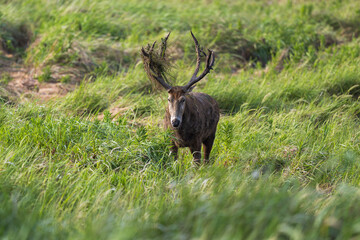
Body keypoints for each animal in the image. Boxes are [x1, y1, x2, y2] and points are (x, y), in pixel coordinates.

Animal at [141, 31, 219, 164]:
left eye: (183, 99)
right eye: (169, 99)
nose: (175, 122)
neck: (180, 134)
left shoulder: (197, 140)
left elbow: (197, 163)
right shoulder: (170, 141)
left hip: (211, 134)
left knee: (206, 159)